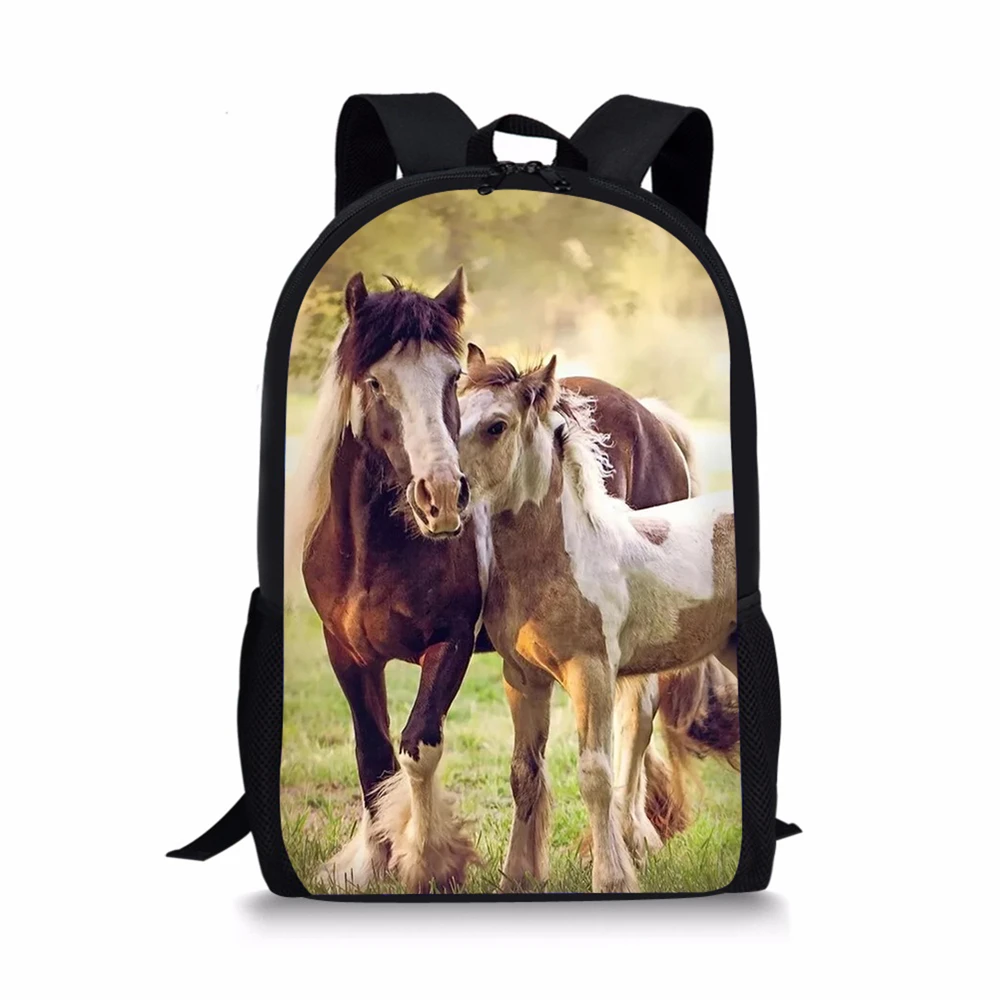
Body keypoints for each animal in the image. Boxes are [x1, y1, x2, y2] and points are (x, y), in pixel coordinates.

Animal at [458, 351, 737, 893]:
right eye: (451, 411)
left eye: (496, 426)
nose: (432, 491)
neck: (563, 558)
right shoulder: (522, 677)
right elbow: (524, 772)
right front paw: (517, 878)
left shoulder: (592, 672)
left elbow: (594, 773)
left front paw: (612, 878)